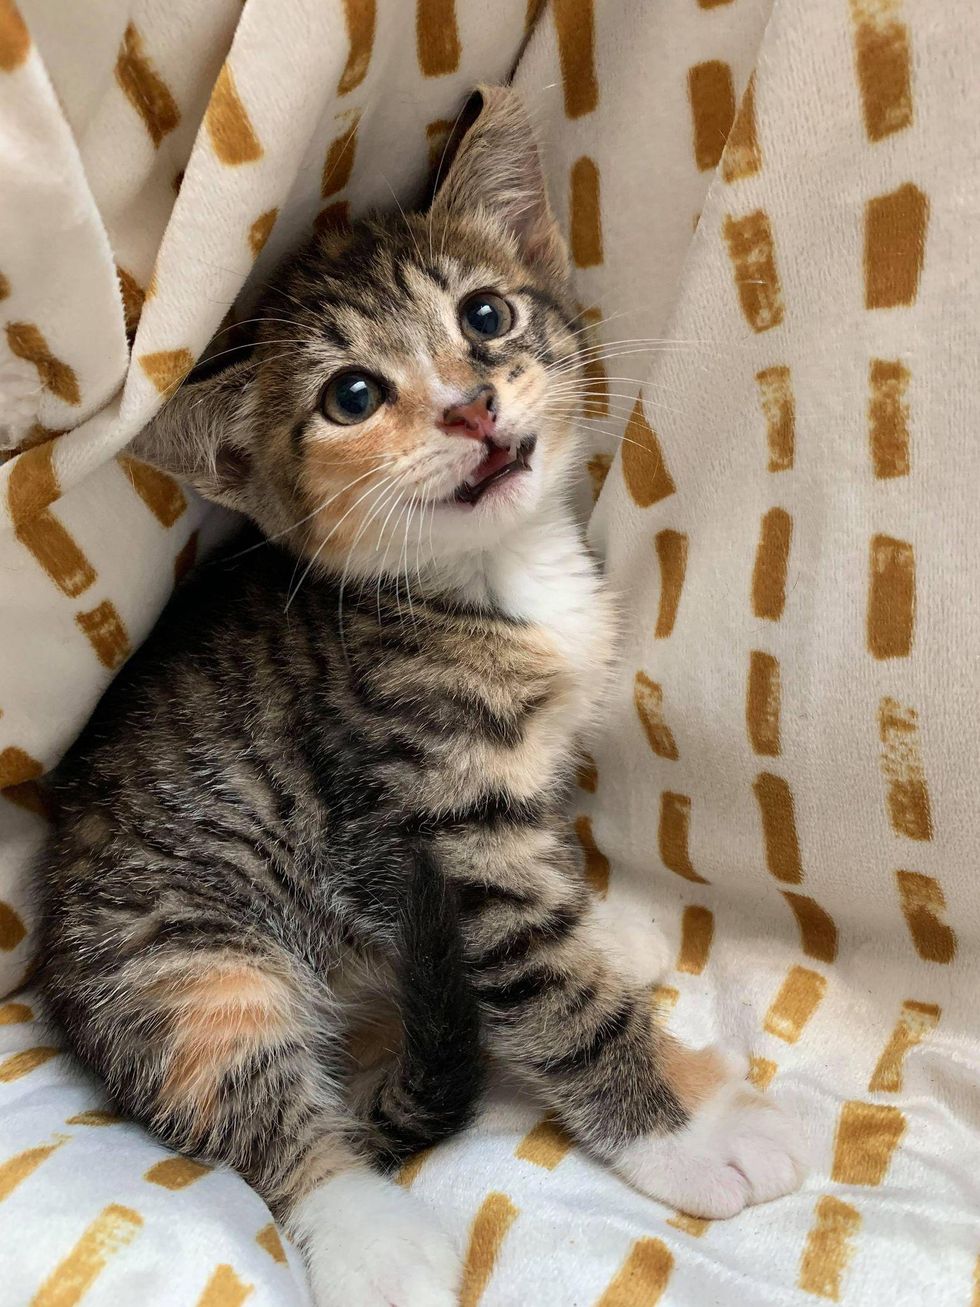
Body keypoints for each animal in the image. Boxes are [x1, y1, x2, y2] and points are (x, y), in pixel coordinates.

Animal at [36, 86, 804, 1301]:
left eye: (486, 315)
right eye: (352, 396)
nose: (469, 406)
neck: (483, 584)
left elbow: (570, 926)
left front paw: (660, 1022)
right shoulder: (435, 820)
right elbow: (554, 990)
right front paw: (685, 1134)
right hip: (175, 948)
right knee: (245, 1097)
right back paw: (366, 1231)